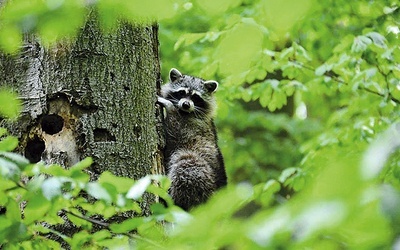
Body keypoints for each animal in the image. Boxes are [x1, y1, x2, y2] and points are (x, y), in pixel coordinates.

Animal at [157, 67, 227, 210]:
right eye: (181, 92)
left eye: (195, 97)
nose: (185, 104)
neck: (185, 112)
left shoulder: (193, 127)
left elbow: (177, 128)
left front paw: (170, 107)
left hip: (203, 176)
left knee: (186, 164)